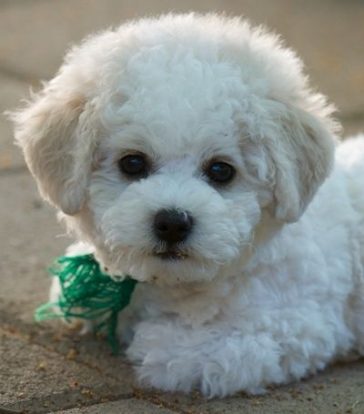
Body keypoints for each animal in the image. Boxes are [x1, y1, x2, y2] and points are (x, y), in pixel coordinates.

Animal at [11, 13, 364, 398]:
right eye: (132, 163)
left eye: (221, 170)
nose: (172, 222)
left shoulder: (294, 325)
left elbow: (187, 353)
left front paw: (155, 340)